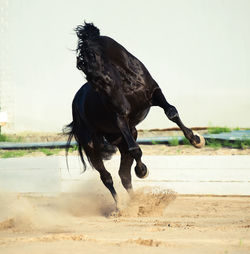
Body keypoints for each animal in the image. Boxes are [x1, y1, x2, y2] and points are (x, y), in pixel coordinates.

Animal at [65, 22, 205, 203]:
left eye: (92, 54)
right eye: (81, 64)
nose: (102, 86)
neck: (127, 81)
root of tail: (75, 106)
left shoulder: (155, 94)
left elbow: (171, 112)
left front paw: (196, 140)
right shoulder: (120, 117)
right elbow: (136, 150)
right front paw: (142, 171)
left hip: (123, 137)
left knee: (124, 175)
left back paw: (137, 204)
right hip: (93, 146)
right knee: (107, 177)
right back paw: (121, 207)